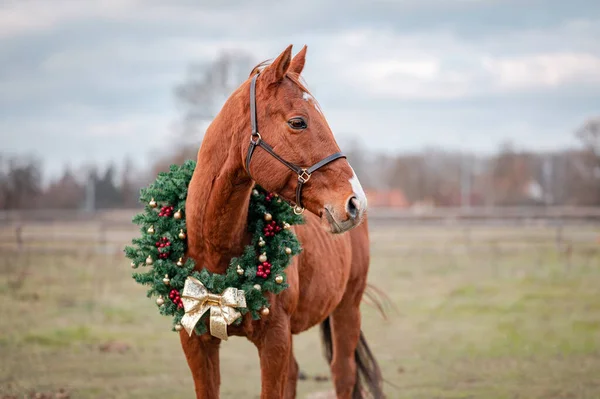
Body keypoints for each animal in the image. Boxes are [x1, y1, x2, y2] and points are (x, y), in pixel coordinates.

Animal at [180, 44, 384, 399]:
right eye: (298, 122)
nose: (355, 202)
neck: (215, 251)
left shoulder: (273, 340)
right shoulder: (196, 343)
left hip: (348, 308)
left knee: (343, 373)